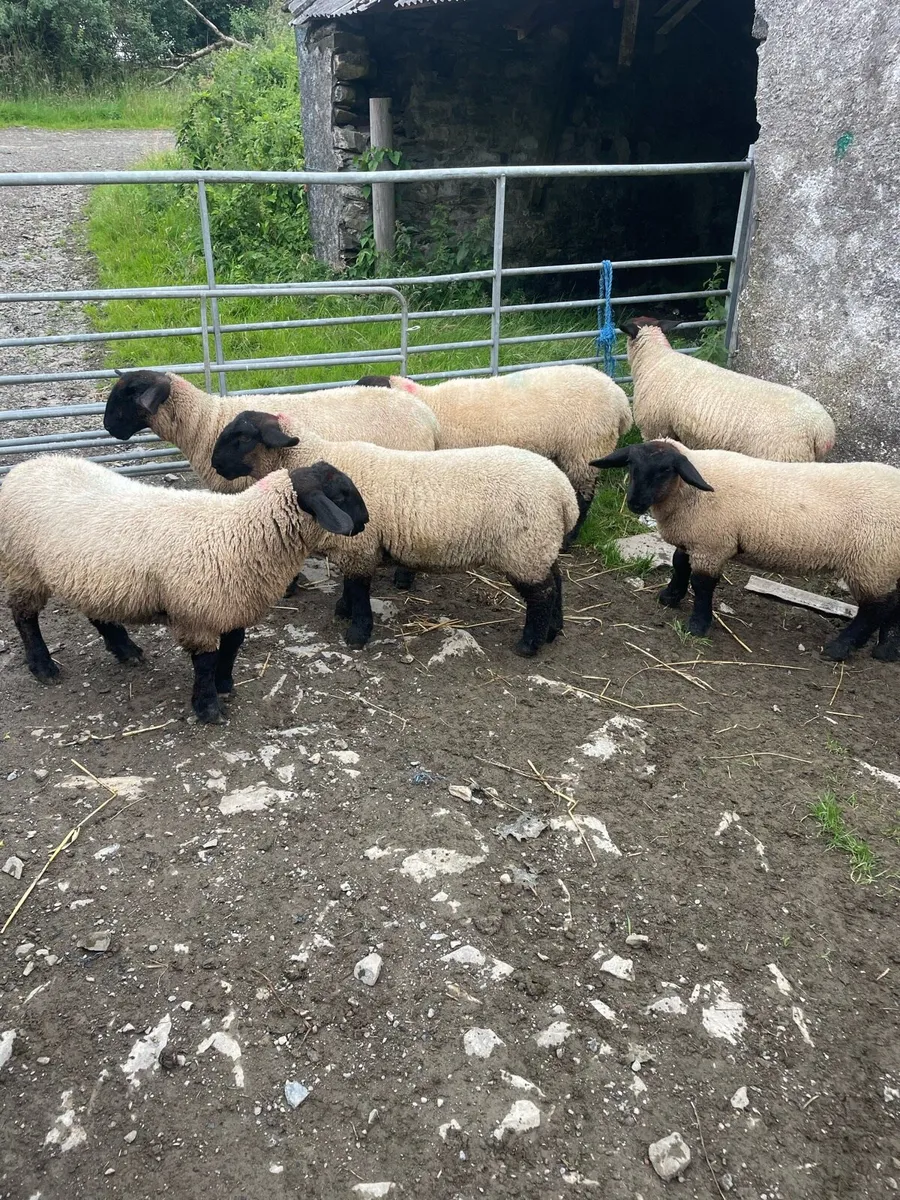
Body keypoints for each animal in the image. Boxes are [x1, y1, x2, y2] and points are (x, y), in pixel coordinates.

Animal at [0, 454, 368, 723]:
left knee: (97, 613)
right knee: (24, 618)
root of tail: (27, 466)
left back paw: (125, 650)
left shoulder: (231, 605)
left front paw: (224, 686)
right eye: (341, 494)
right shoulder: (196, 614)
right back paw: (43, 667)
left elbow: (231, 648)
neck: (241, 532)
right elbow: (205, 661)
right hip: (22, 567)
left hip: (90, 577)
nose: (364, 522)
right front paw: (208, 709)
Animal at [210, 409, 580, 657]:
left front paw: (357, 634)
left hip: (524, 549)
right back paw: (554, 630)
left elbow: (360, 591)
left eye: (242, 437)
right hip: (539, 545)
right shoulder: (355, 548)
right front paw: (343, 610)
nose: (215, 464)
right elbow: (350, 586)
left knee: (542, 594)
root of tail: (564, 494)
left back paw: (529, 644)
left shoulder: (360, 546)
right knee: (556, 582)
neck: (311, 456)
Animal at [591, 438, 900, 662]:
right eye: (631, 465)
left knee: (874, 609)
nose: (634, 504)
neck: (688, 493)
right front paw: (670, 597)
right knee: (893, 605)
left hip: (872, 561)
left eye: (665, 470)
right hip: (885, 563)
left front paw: (698, 625)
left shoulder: (712, 544)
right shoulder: (695, 539)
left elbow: (702, 584)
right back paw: (887, 650)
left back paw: (840, 649)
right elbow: (679, 563)